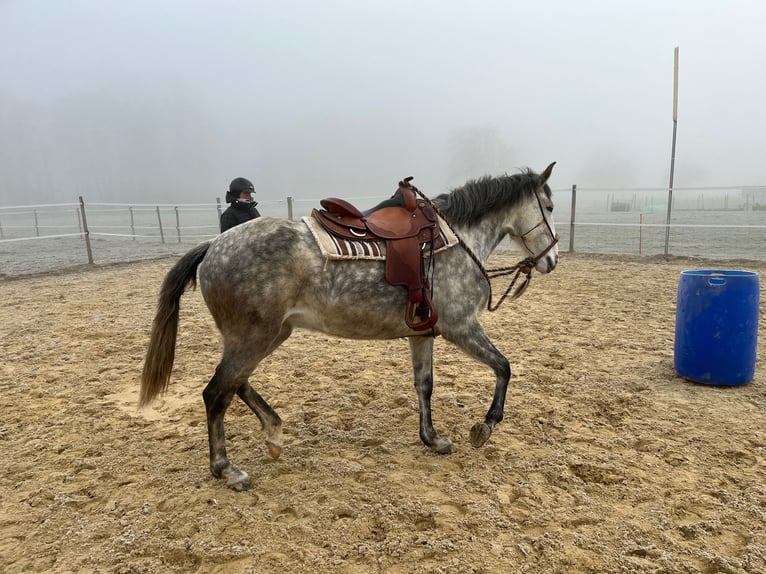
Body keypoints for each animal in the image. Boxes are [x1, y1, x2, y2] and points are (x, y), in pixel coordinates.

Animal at [141, 162, 560, 490]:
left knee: (236, 383)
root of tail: (213, 246)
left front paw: (432, 438)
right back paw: (227, 469)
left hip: (266, 334)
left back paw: (273, 432)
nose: (552, 259)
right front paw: (485, 426)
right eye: (550, 206)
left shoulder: (421, 333)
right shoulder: (461, 326)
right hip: (253, 338)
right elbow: (504, 367)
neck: (455, 239)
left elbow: (424, 385)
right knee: (217, 393)